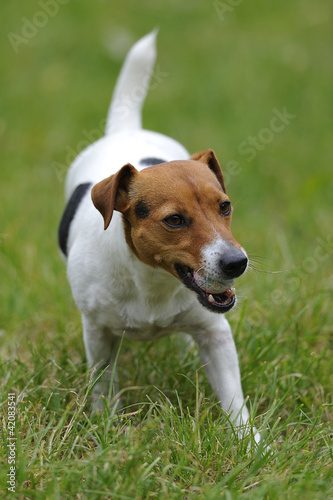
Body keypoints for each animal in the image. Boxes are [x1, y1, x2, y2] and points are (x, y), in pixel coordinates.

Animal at [58, 31, 258, 444]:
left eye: (225, 206)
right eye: (174, 220)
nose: (237, 263)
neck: (151, 282)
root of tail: (125, 131)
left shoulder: (215, 332)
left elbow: (234, 398)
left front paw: (251, 444)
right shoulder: (98, 334)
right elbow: (104, 388)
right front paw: (108, 427)